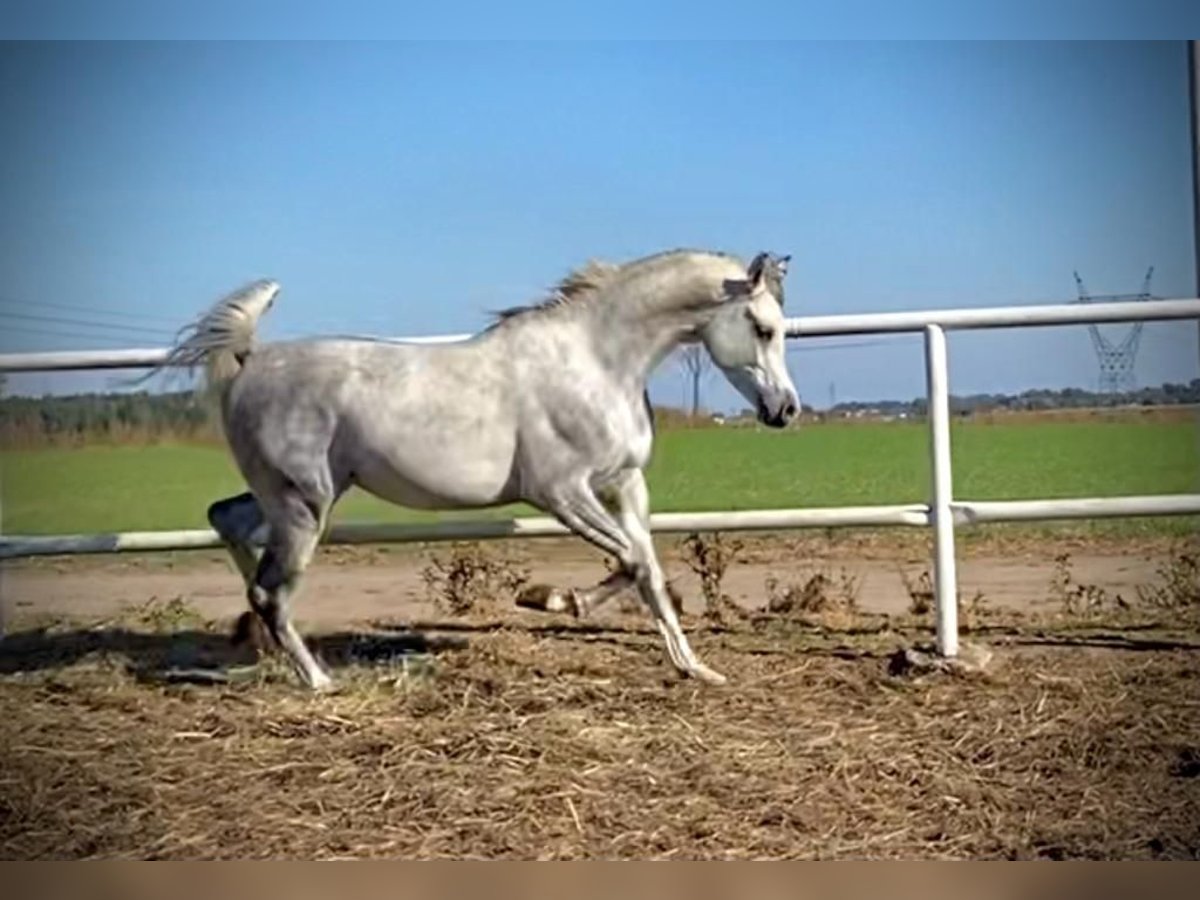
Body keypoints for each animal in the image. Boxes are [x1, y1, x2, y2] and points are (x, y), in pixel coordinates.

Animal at [162, 247, 796, 691]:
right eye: (763, 328)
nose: (785, 410)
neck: (596, 361)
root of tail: (248, 360)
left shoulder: (624, 484)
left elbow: (648, 569)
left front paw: (695, 667)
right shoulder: (561, 493)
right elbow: (634, 562)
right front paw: (551, 599)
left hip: (290, 496)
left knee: (228, 522)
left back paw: (254, 638)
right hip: (303, 505)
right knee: (270, 587)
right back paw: (318, 679)